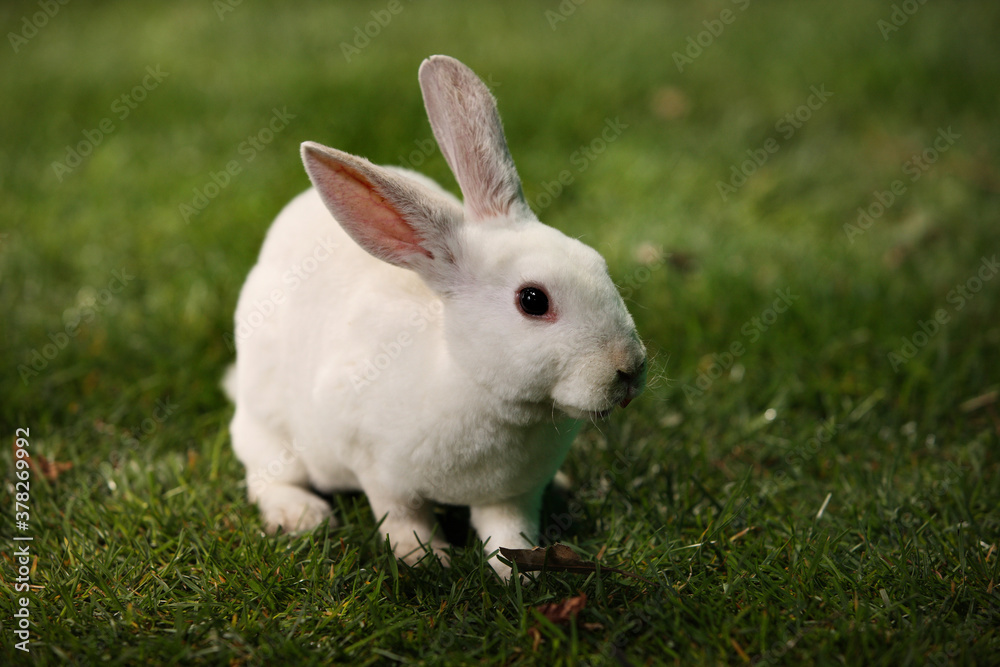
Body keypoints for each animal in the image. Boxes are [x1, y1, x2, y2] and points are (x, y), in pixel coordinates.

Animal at [226, 55, 647, 579]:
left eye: (598, 264)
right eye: (533, 300)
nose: (630, 369)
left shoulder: (512, 495)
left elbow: (509, 533)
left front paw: (520, 573)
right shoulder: (378, 470)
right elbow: (402, 519)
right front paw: (428, 560)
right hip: (270, 425)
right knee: (264, 472)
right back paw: (301, 514)